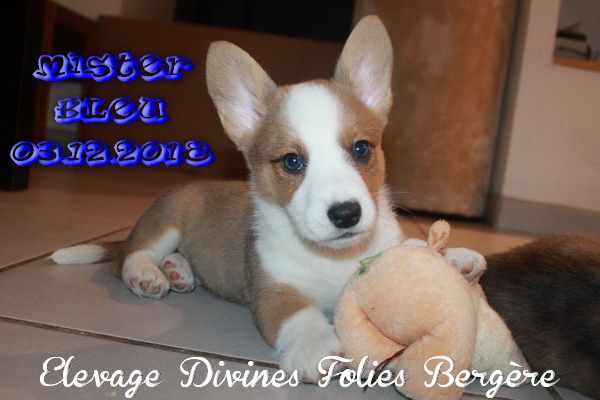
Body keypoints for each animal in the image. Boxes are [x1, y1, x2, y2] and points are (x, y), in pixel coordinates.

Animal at [51, 16, 487, 382]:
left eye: (362, 149)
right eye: (292, 161)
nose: (346, 213)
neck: (334, 258)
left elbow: (411, 251)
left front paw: (452, 258)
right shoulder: (271, 291)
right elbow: (297, 312)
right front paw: (314, 345)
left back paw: (179, 271)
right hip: (164, 223)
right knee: (128, 257)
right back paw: (149, 274)